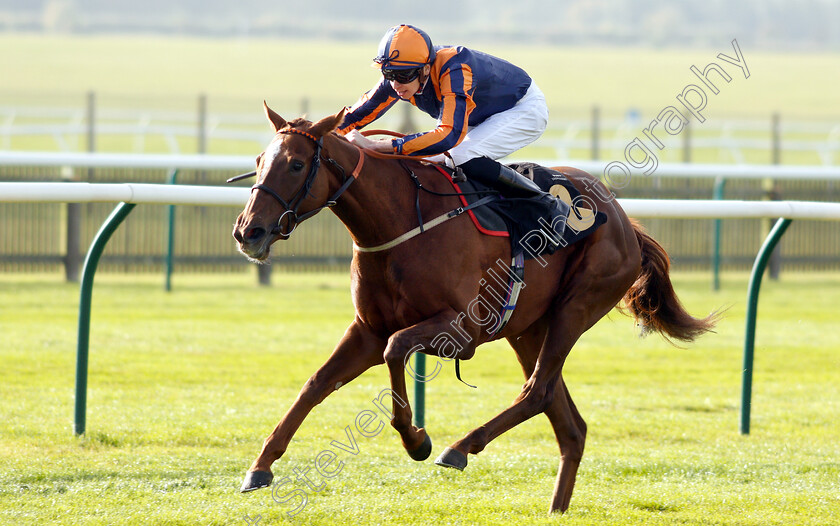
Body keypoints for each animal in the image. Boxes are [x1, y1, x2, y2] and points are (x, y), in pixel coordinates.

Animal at [233, 103, 720, 516]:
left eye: (296, 164)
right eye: (259, 159)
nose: (247, 232)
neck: (400, 223)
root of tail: (625, 221)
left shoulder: (462, 328)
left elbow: (396, 350)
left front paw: (418, 441)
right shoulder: (366, 331)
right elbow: (316, 384)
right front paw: (260, 467)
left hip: (576, 307)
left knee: (538, 392)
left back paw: (460, 448)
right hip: (528, 329)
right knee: (568, 420)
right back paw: (555, 509)